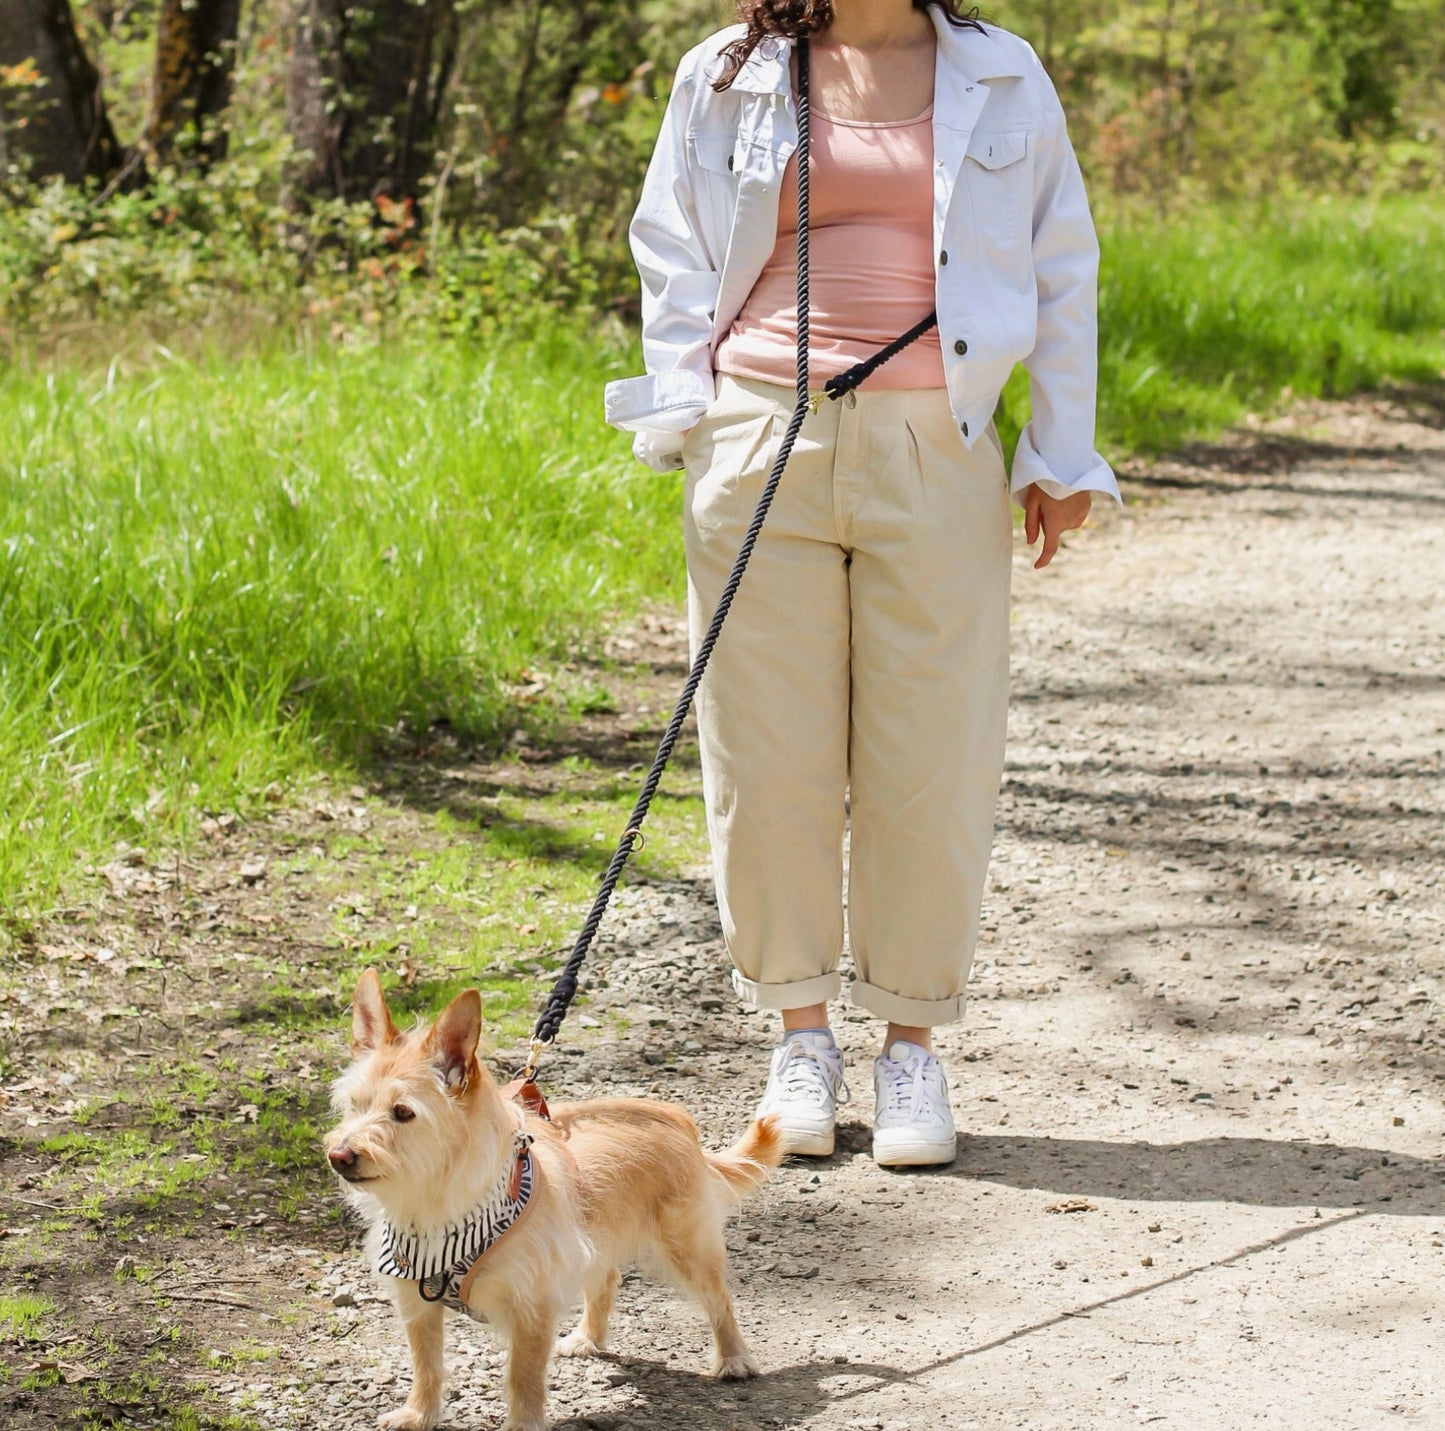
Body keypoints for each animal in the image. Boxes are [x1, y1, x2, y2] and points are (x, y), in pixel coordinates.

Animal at [326, 977, 786, 1431]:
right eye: (355, 1105)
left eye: (403, 1112)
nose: (339, 1156)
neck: (436, 1202)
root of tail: (675, 1118)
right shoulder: (417, 1303)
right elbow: (426, 1364)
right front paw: (418, 1413)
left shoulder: (532, 1303)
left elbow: (523, 1376)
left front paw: (522, 1424)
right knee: (605, 1279)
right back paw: (587, 1338)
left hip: (689, 1247)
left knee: (718, 1298)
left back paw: (734, 1358)